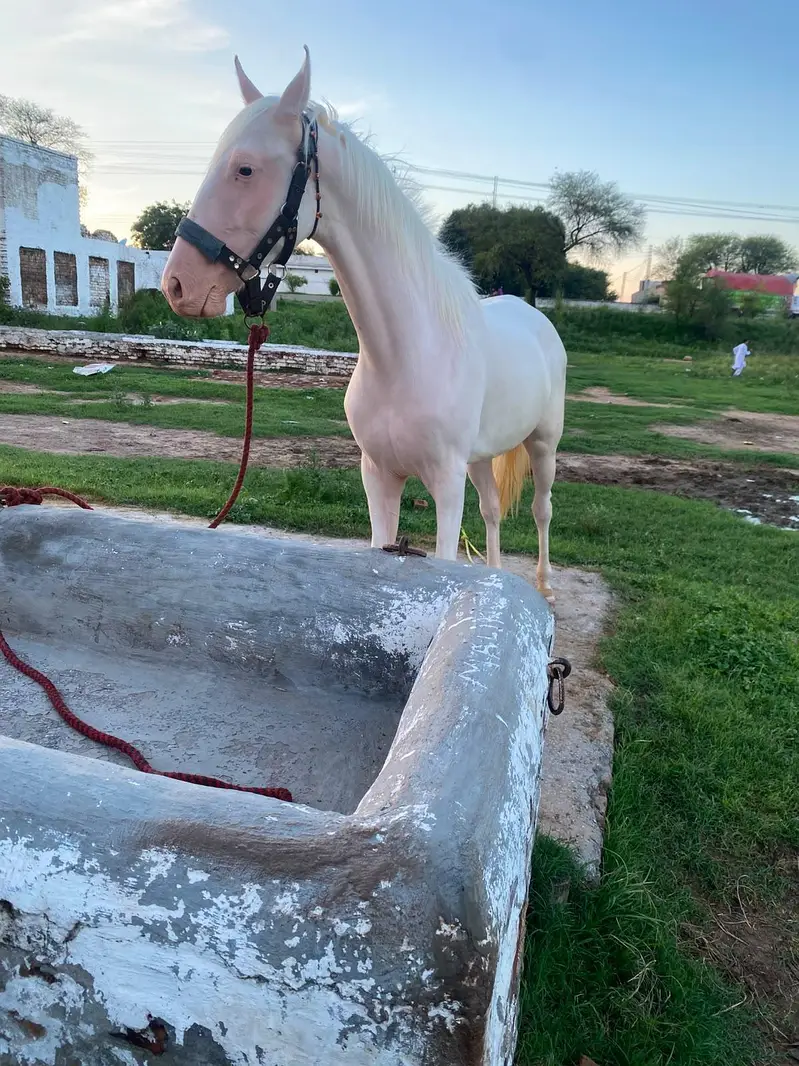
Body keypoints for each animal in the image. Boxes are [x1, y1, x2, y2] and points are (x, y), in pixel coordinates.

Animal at [162, 48, 567, 601]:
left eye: (245, 168)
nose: (178, 284)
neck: (406, 355)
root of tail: (533, 315)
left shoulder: (445, 483)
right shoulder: (379, 475)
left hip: (544, 443)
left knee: (542, 509)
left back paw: (545, 587)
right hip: (482, 457)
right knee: (491, 511)